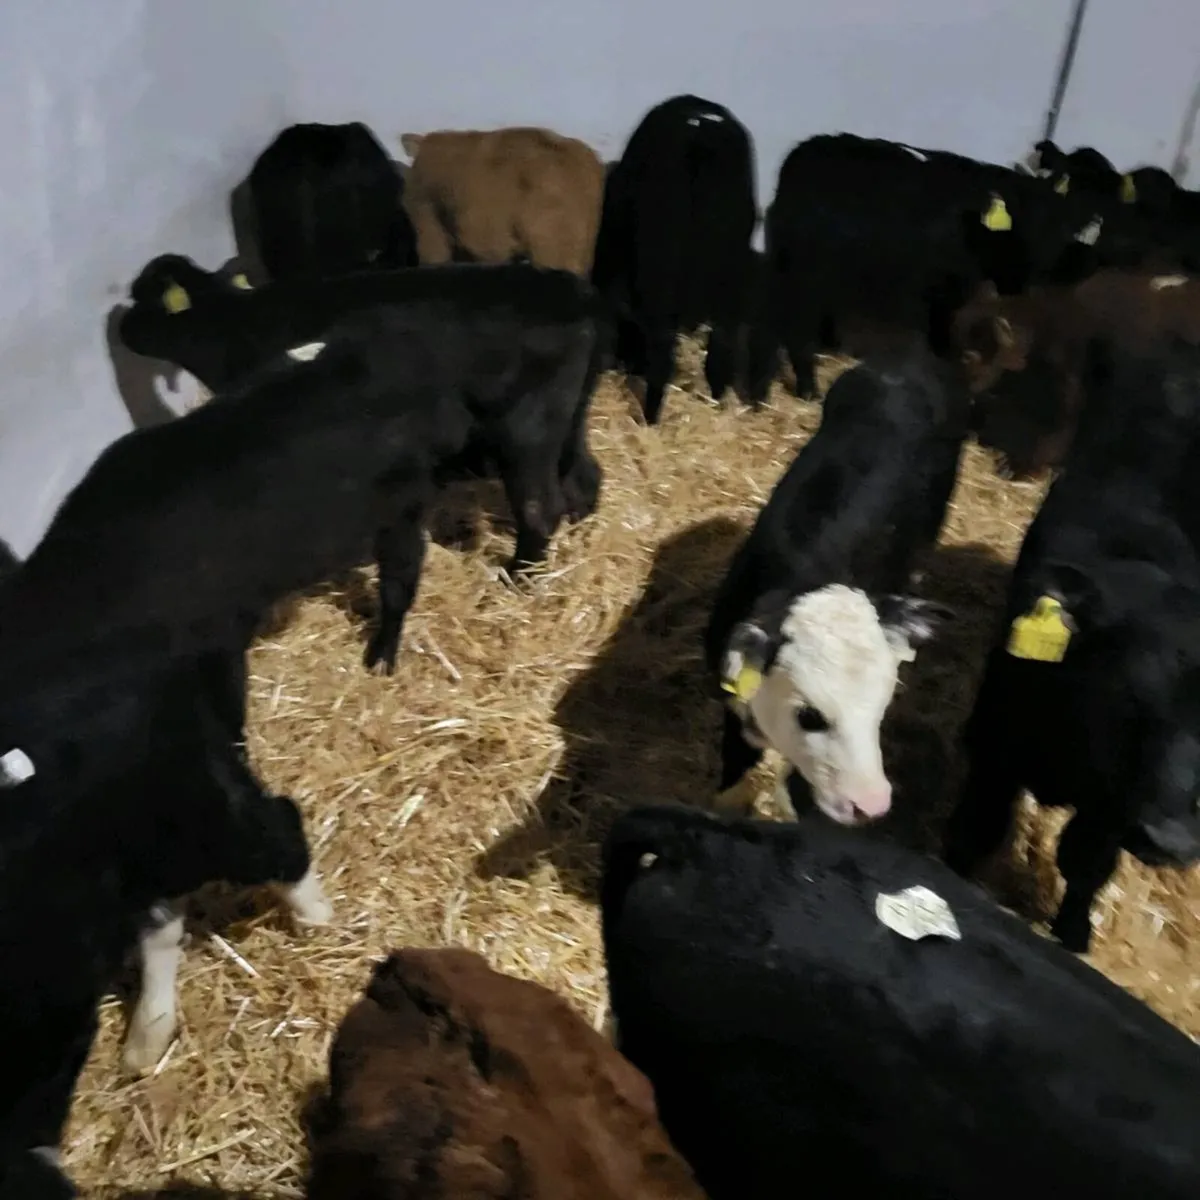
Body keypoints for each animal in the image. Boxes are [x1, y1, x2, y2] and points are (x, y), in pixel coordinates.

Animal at [115, 257, 604, 670]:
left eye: (146, 297)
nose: (121, 324)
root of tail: (571, 289)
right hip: (568, 421)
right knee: (584, 478)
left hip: (526, 429)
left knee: (539, 509)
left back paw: (517, 579)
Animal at [590, 94, 758, 425]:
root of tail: (701, 135)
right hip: (731, 260)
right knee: (723, 339)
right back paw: (716, 400)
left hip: (661, 258)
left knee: (662, 342)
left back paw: (651, 416)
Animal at [943, 335, 1200, 953]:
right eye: (1131, 698)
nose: (1170, 840)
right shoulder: (995, 740)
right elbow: (976, 828)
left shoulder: (1113, 806)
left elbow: (1086, 862)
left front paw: (1074, 932)